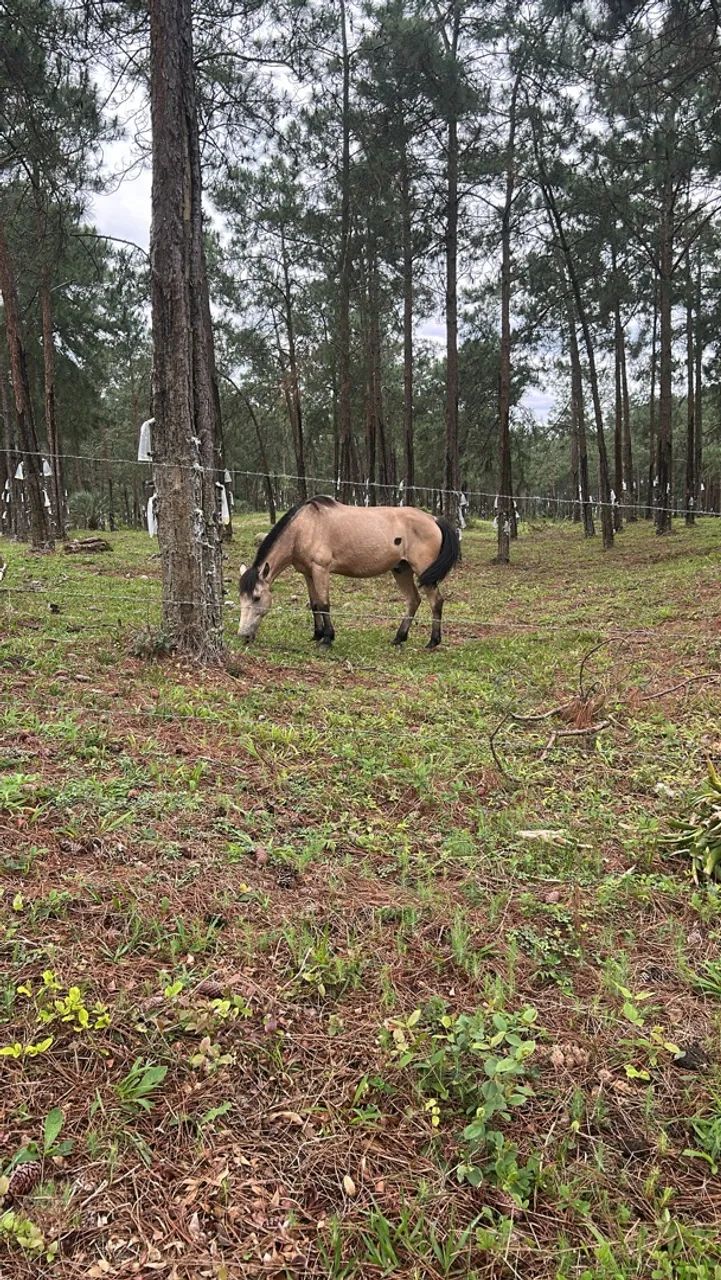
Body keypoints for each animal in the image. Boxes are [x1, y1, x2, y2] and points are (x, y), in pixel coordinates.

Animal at [238, 496, 461, 649]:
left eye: (257, 597)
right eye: (241, 598)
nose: (243, 635)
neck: (304, 527)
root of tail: (433, 519)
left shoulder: (321, 570)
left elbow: (324, 604)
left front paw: (327, 639)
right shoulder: (308, 573)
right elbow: (314, 605)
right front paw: (317, 634)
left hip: (423, 571)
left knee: (436, 602)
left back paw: (433, 641)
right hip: (401, 570)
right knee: (413, 600)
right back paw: (399, 638)